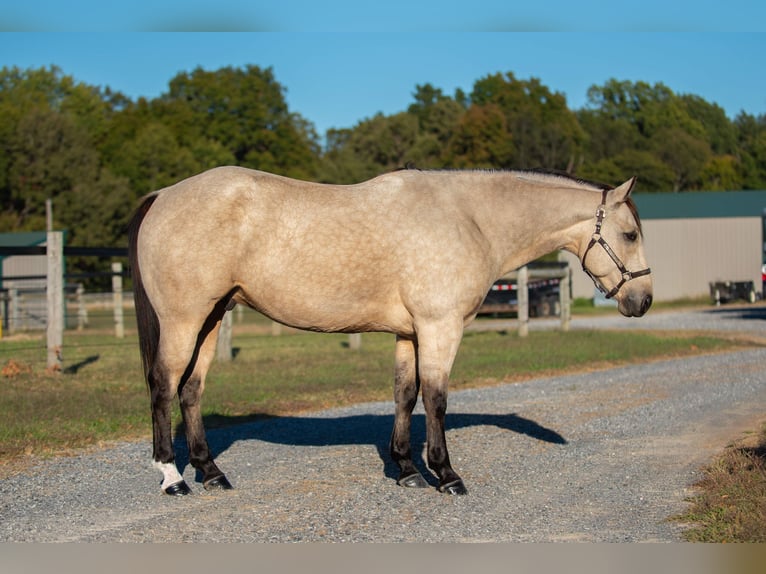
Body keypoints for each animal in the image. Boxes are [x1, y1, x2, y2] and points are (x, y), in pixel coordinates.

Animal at [127, 166, 652, 496]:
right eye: (630, 234)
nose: (642, 301)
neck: (470, 219)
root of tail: (162, 196)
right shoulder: (440, 327)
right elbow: (436, 398)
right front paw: (445, 474)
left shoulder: (410, 333)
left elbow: (404, 394)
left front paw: (405, 470)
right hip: (184, 319)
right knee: (163, 386)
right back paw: (173, 477)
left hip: (212, 318)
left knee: (191, 390)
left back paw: (211, 472)